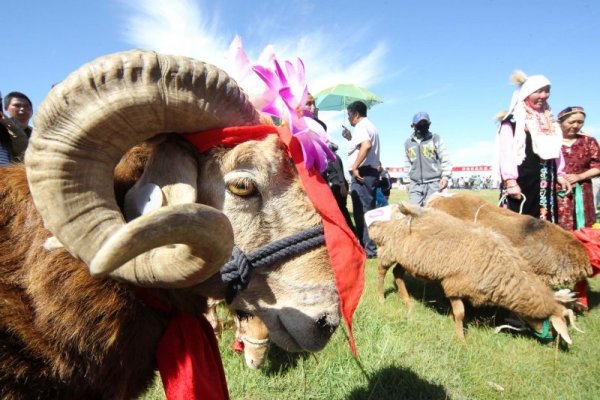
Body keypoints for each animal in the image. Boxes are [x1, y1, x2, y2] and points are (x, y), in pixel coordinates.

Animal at [368, 203, 576, 344]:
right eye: (550, 322)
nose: (549, 339)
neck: (502, 269)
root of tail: (385, 224)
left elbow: (458, 312)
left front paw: (452, 323)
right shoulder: (454, 284)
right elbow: (461, 313)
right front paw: (461, 339)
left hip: (406, 258)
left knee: (398, 273)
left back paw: (407, 301)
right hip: (389, 251)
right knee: (382, 272)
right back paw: (380, 298)